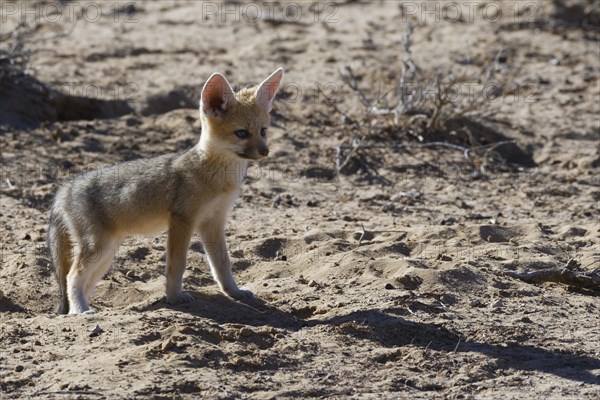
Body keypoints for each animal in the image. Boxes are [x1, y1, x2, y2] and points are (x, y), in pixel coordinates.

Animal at [47, 68, 284, 312]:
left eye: (263, 131)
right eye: (241, 133)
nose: (265, 151)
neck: (218, 177)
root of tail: (65, 188)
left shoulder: (214, 223)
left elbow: (223, 264)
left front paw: (234, 292)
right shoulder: (182, 220)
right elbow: (177, 265)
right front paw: (174, 297)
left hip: (106, 255)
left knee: (83, 283)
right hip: (98, 249)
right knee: (72, 277)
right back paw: (82, 311)